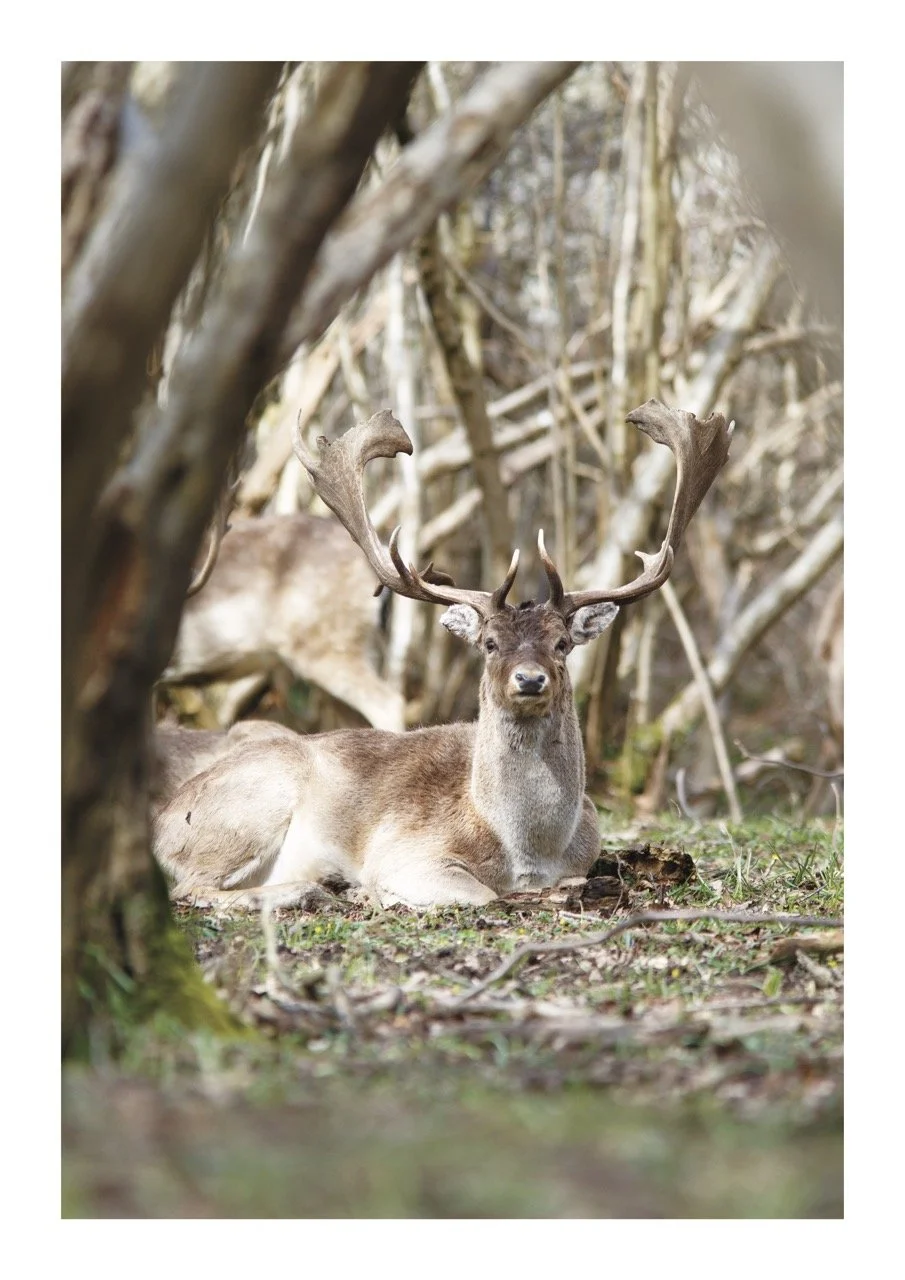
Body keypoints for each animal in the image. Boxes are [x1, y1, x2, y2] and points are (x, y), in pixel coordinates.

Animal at [152, 400, 732, 909]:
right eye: (490, 643)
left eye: (562, 644)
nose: (529, 680)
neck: (530, 851)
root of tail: (163, 821)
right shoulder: (405, 850)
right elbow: (480, 894)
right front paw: (371, 892)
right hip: (249, 805)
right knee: (191, 889)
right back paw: (311, 889)